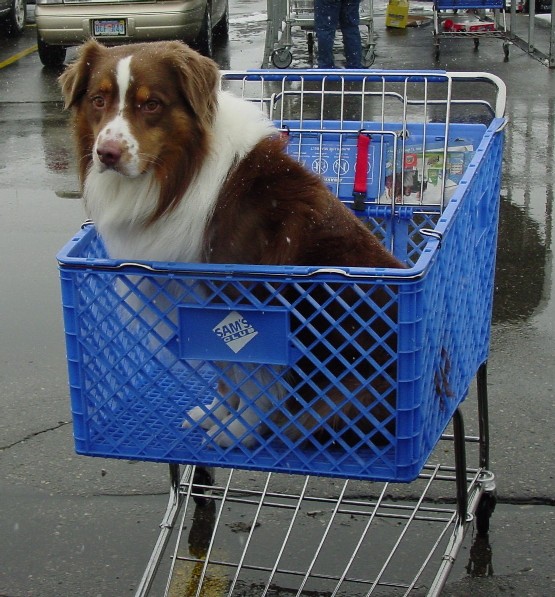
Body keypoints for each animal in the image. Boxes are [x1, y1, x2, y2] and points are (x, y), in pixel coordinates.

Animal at [59, 39, 405, 449]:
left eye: (152, 104)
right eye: (98, 100)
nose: (107, 154)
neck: (178, 175)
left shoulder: (244, 298)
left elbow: (252, 375)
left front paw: (240, 430)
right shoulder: (196, 302)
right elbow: (225, 369)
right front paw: (219, 415)